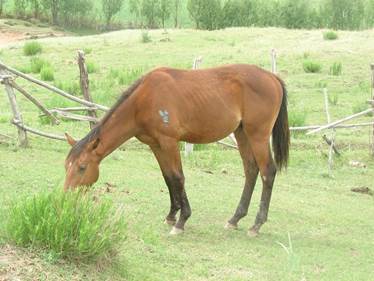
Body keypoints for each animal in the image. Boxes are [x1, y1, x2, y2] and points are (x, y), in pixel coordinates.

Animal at [64, 63, 290, 234]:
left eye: (82, 167)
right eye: (66, 166)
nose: (66, 196)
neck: (143, 100)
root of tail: (272, 77)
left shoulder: (169, 142)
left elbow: (178, 177)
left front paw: (182, 221)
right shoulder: (156, 145)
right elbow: (168, 177)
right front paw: (172, 215)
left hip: (258, 135)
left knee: (267, 172)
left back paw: (257, 224)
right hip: (242, 133)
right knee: (251, 170)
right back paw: (235, 218)